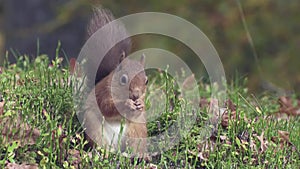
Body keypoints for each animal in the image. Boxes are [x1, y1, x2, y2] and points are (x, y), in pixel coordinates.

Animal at [82, 6, 148, 157]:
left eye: (146, 81)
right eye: (123, 79)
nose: (136, 95)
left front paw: (141, 104)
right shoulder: (103, 93)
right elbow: (106, 107)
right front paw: (126, 104)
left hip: (138, 129)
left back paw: (138, 155)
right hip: (94, 127)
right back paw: (105, 153)